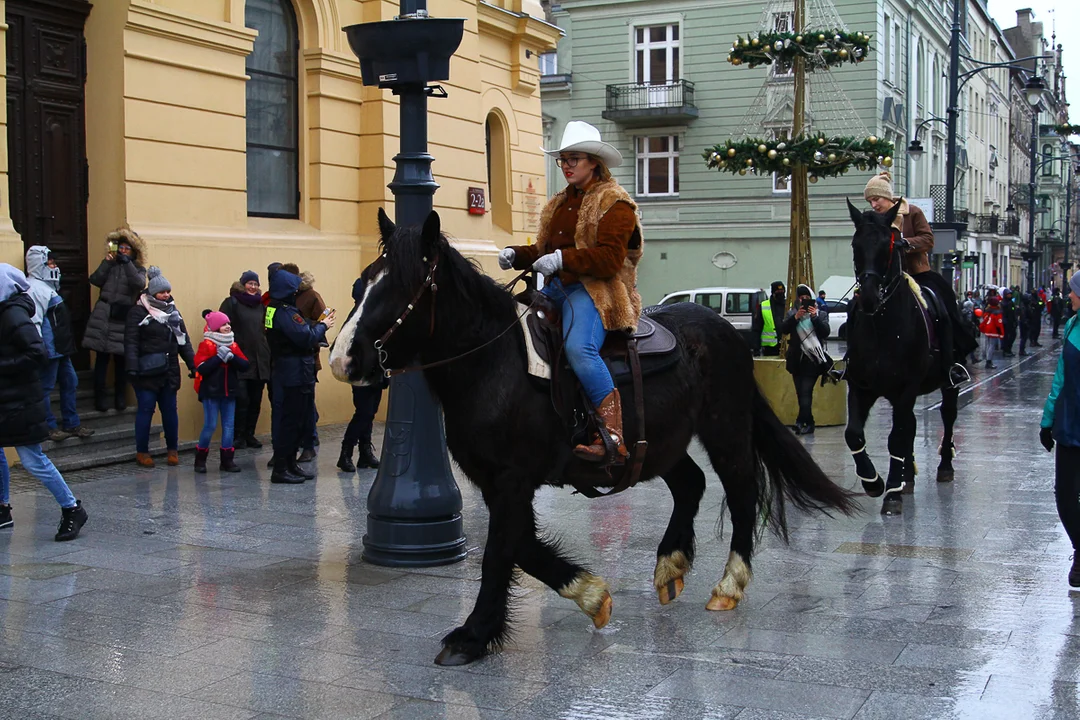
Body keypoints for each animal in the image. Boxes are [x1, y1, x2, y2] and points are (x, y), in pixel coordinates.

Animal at [328, 208, 851, 664]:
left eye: (401, 285)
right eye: (361, 282)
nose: (342, 359)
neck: (494, 364)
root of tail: (724, 331)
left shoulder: (513, 479)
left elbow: (500, 552)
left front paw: (473, 635)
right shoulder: (493, 481)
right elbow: (522, 545)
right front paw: (592, 594)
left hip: (724, 428)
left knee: (741, 492)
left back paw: (728, 585)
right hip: (656, 445)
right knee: (691, 484)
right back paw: (671, 564)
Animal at [842, 199, 963, 518]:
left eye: (889, 244)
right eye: (855, 244)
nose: (869, 297)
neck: (882, 328)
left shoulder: (906, 387)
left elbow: (896, 436)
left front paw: (891, 494)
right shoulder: (860, 386)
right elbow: (854, 434)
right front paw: (873, 481)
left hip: (947, 383)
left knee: (947, 416)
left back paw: (943, 467)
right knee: (909, 425)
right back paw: (906, 476)